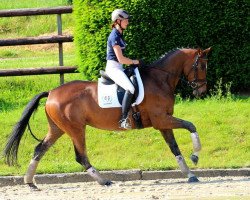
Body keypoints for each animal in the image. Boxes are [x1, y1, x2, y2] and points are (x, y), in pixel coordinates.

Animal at [3, 47, 211, 189]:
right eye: (201, 65)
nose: (201, 91)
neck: (160, 80)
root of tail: (52, 92)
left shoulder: (163, 123)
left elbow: (175, 148)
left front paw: (190, 174)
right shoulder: (161, 119)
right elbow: (191, 125)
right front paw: (195, 156)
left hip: (58, 129)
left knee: (40, 149)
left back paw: (30, 182)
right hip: (76, 129)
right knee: (81, 156)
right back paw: (104, 181)